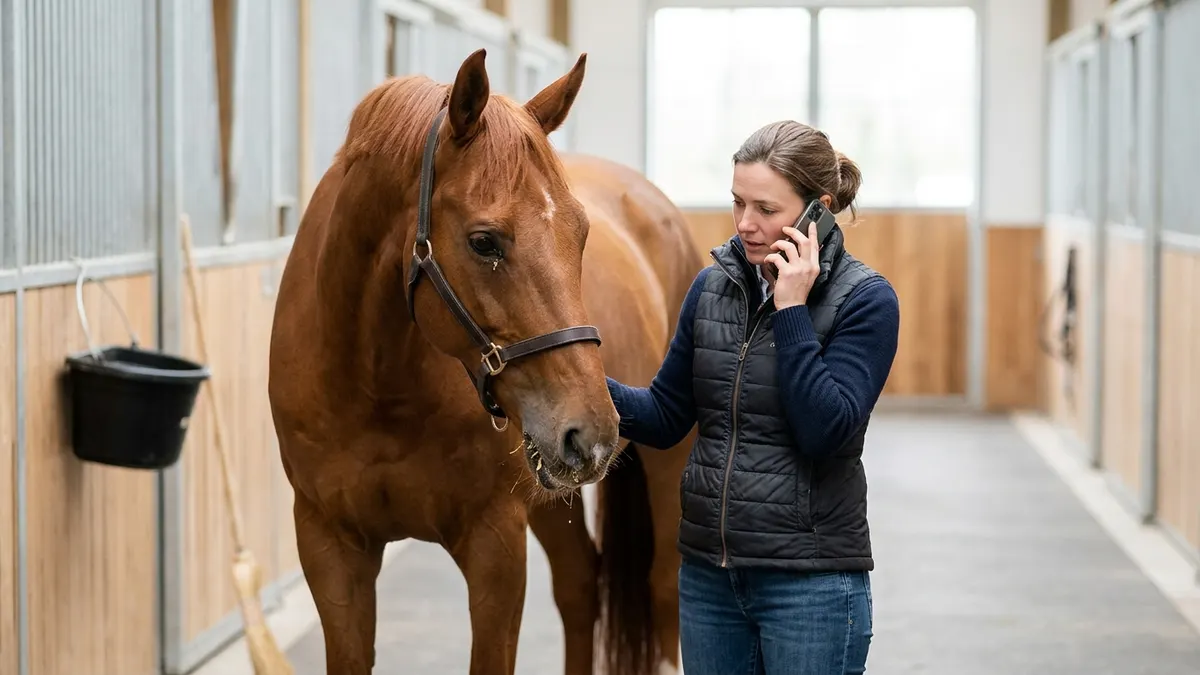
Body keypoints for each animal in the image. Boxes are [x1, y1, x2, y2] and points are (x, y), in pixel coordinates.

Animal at [268, 48, 704, 675]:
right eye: (484, 242)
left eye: (581, 233)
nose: (593, 431)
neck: (376, 387)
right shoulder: (330, 547)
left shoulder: (495, 544)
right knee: (579, 585)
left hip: (666, 468)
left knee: (663, 589)